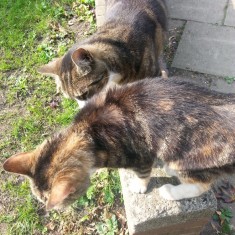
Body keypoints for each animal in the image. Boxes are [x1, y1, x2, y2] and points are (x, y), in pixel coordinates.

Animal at [3, 78, 235, 210]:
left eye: (47, 201)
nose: (55, 209)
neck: (86, 132)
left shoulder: (140, 155)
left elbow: (143, 174)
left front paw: (140, 186)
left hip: (184, 156)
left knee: (201, 185)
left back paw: (170, 191)